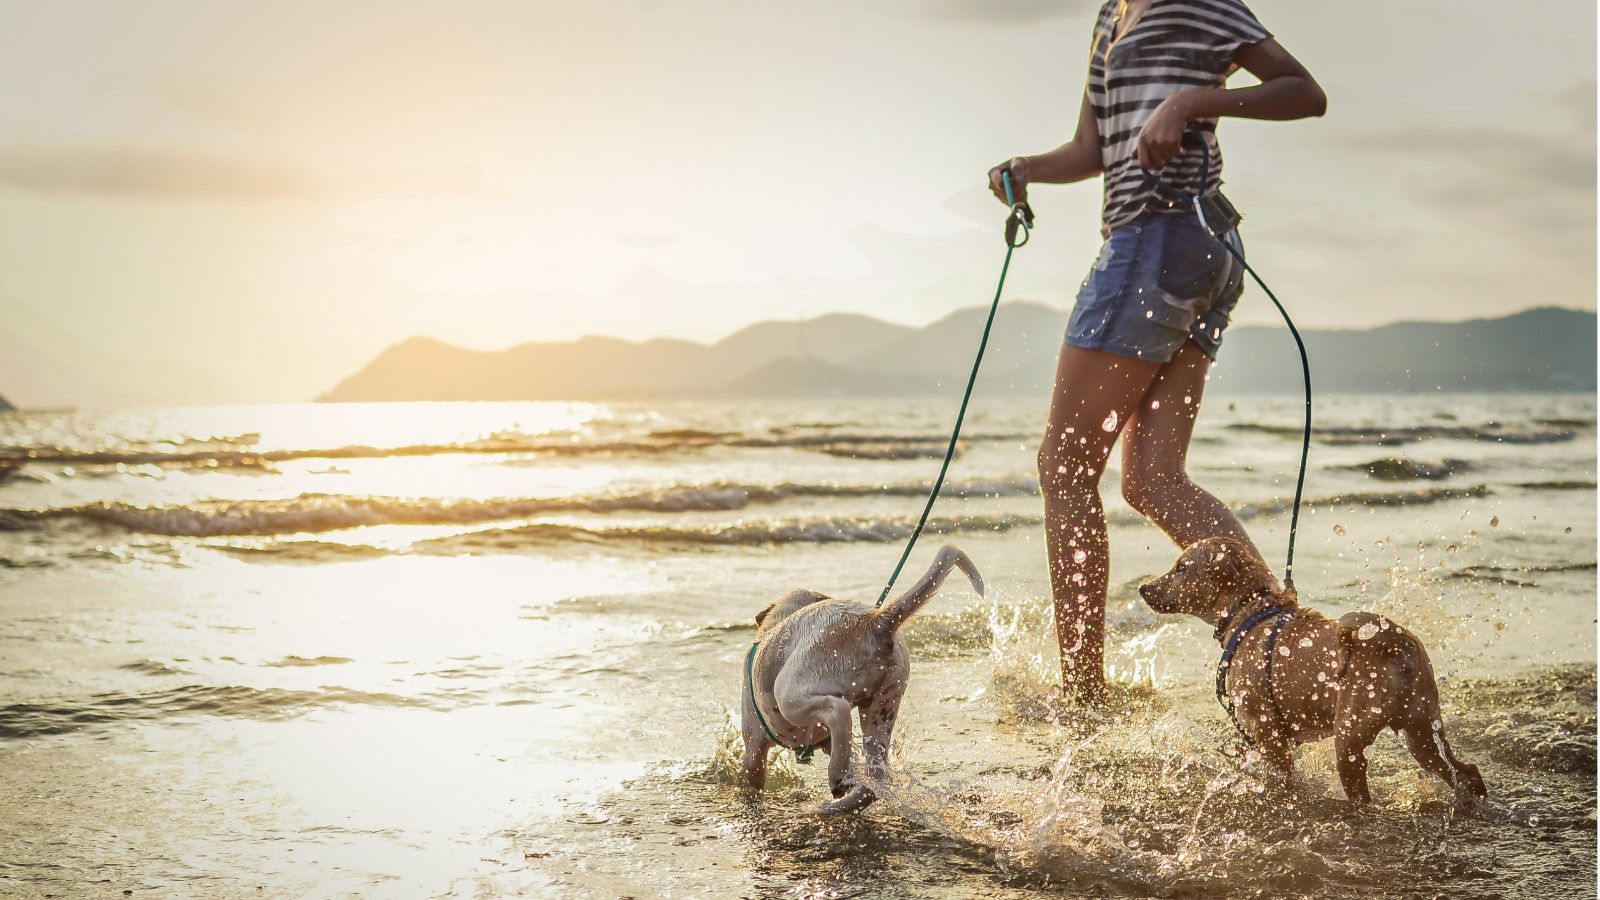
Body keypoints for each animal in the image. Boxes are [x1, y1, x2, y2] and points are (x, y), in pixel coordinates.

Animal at [739, 538, 985, 813]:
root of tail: (875, 621)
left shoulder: (753, 748)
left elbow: (750, 774)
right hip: (882, 708)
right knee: (876, 776)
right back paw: (839, 801)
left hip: (792, 692)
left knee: (838, 711)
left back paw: (835, 780)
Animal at [1139, 534, 1484, 800]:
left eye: (1182, 567)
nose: (1143, 588)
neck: (1251, 612)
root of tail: (1397, 646)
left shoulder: (1269, 734)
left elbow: (1285, 779)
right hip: (1422, 729)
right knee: (1465, 772)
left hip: (1352, 739)